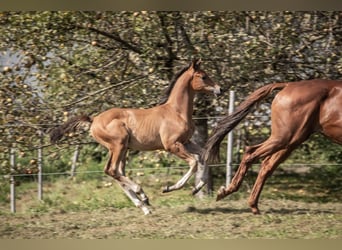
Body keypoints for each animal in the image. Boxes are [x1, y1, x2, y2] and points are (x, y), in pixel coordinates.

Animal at [50, 59, 222, 215]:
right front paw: (169, 188)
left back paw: (144, 206)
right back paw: (142, 195)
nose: (219, 89)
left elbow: (203, 156)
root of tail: (94, 120)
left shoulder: (186, 142)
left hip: (122, 148)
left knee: (117, 172)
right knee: (112, 170)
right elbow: (194, 162)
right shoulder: (172, 145)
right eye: (203, 76)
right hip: (118, 145)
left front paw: (196, 188)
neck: (176, 112)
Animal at [203, 80, 342, 215]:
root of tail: (288, 85)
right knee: (251, 153)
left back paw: (251, 204)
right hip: (284, 138)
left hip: (290, 142)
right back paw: (228, 192)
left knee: (266, 165)